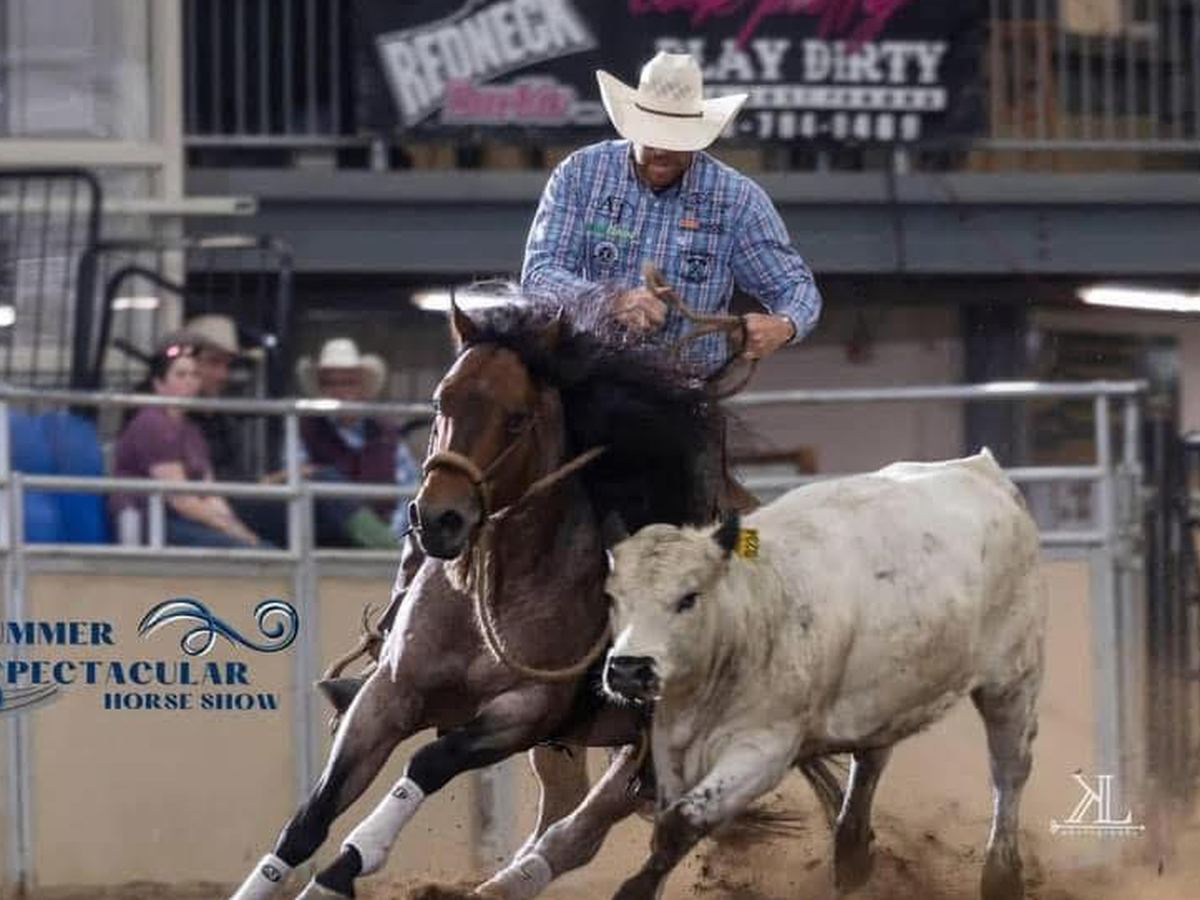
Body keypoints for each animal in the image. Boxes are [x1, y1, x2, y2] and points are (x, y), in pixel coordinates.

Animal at [602, 450, 1047, 900]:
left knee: (1009, 769)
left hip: (1012, 680)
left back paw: (1001, 876)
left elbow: (682, 822)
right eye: (614, 597)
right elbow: (666, 825)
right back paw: (851, 855)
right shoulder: (669, 745)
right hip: (886, 700)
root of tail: (981, 467)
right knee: (870, 761)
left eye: (689, 597)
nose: (628, 669)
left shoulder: (765, 749)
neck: (752, 611)